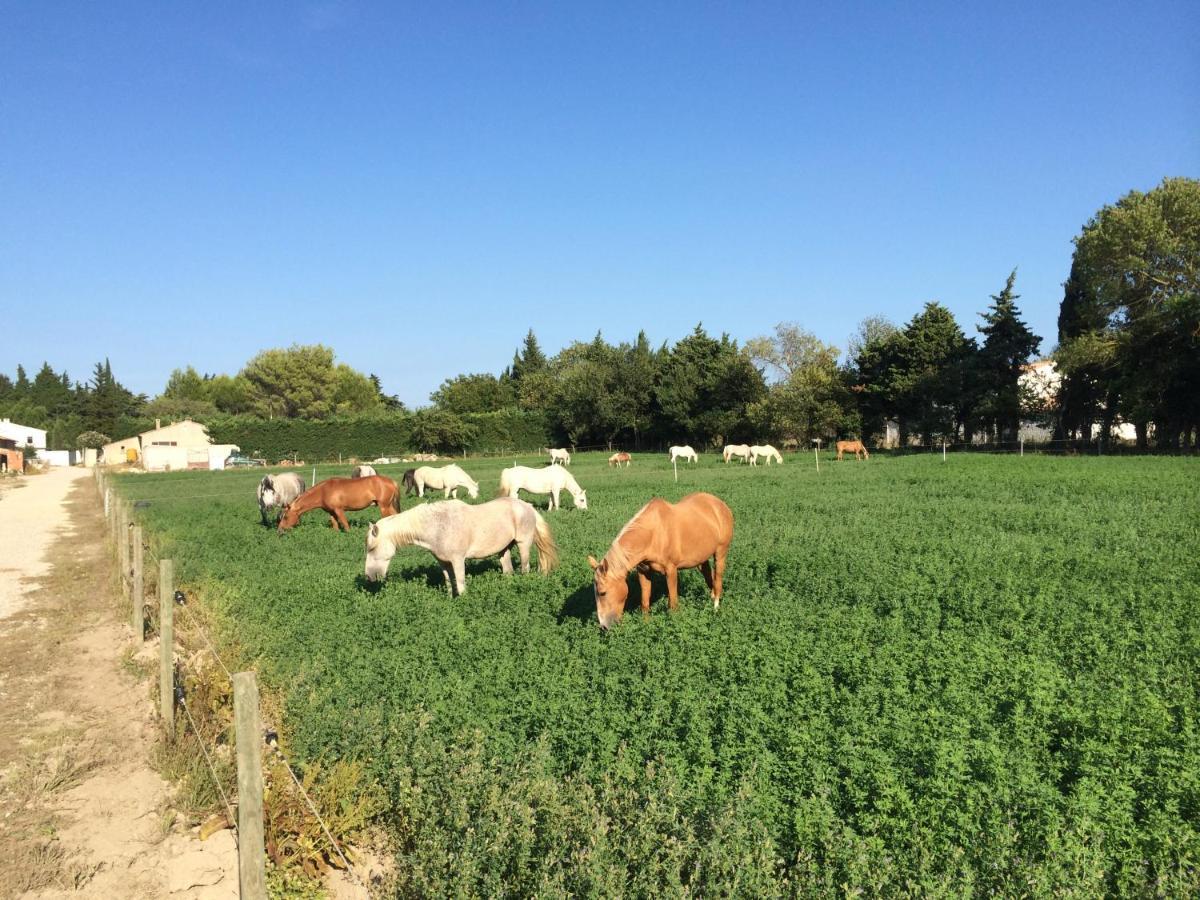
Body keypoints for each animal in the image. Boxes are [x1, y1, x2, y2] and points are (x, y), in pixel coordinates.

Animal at [362, 496, 559, 595]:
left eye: (371, 548)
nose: (369, 577)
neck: (437, 526)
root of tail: (528, 506)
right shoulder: (443, 562)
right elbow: (450, 583)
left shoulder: (458, 560)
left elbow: (461, 584)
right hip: (504, 549)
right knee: (508, 571)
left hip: (523, 544)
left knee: (525, 568)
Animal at [588, 489, 729, 628]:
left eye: (602, 593)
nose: (603, 627)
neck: (653, 534)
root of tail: (719, 504)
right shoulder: (643, 572)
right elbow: (645, 602)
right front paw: (646, 625)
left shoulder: (671, 571)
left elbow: (673, 603)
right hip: (701, 559)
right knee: (708, 575)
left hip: (720, 553)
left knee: (718, 578)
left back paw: (716, 607)